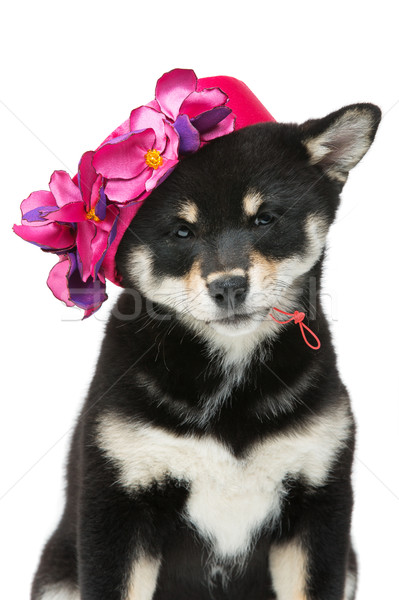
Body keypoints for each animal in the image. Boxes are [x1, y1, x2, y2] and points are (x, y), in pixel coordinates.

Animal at [31, 103, 382, 600]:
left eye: (264, 218)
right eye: (181, 231)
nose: (229, 286)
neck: (228, 379)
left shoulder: (319, 507)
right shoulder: (117, 508)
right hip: (58, 574)